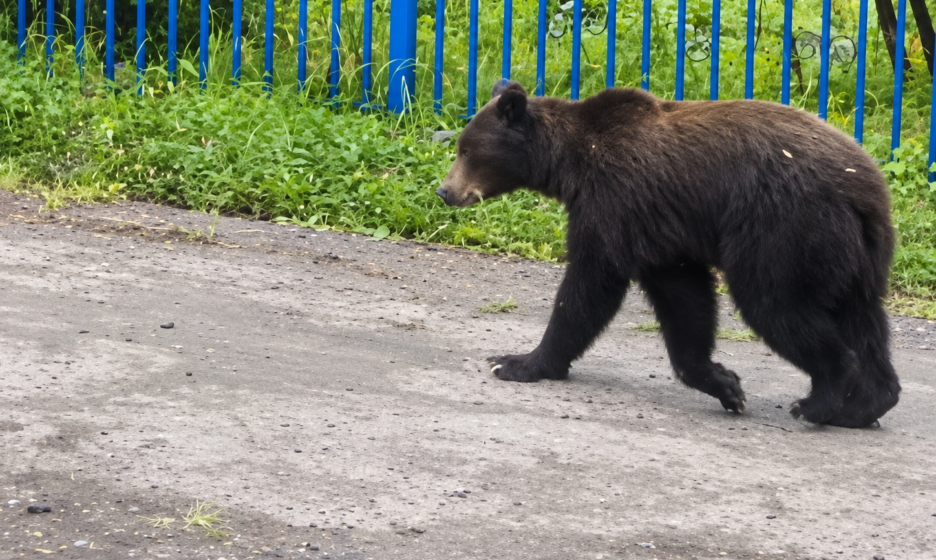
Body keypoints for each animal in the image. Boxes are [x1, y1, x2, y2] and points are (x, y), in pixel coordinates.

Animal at [436, 79, 900, 429]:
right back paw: (865, 406)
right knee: (863, 319)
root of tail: (866, 192)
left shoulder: (616, 201)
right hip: (855, 252)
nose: (444, 191)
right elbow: (684, 299)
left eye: (466, 150)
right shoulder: (660, 232)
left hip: (784, 228)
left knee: (776, 305)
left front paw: (517, 362)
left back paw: (818, 401)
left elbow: (590, 283)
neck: (570, 165)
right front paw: (726, 385)